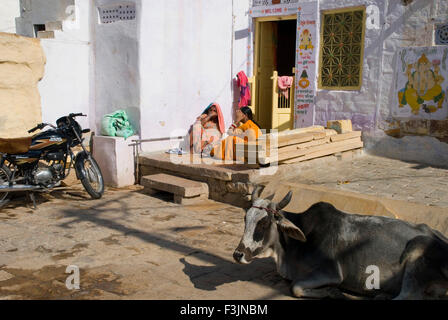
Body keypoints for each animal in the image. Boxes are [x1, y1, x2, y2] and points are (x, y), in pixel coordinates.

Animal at [233, 186, 448, 298]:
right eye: (245, 219)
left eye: (264, 222)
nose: (238, 254)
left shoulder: (331, 273)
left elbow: (296, 287)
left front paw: (333, 292)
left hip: (417, 250)